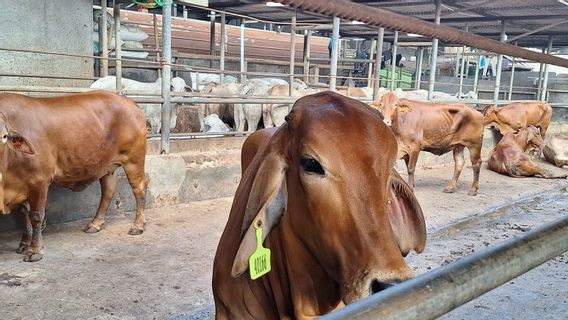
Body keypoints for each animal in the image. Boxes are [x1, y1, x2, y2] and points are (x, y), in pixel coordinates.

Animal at [0, 91, 149, 262]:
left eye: (4, 136)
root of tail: (130, 102)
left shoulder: (39, 181)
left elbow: (36, 216)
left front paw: (34, 250)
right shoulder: (23, 184)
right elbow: (24, 216)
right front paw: (24, 244)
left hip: (134, 160)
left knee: (139, 189)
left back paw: (138, 225)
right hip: (107, 167)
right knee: (108, 191)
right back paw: (95, 224)